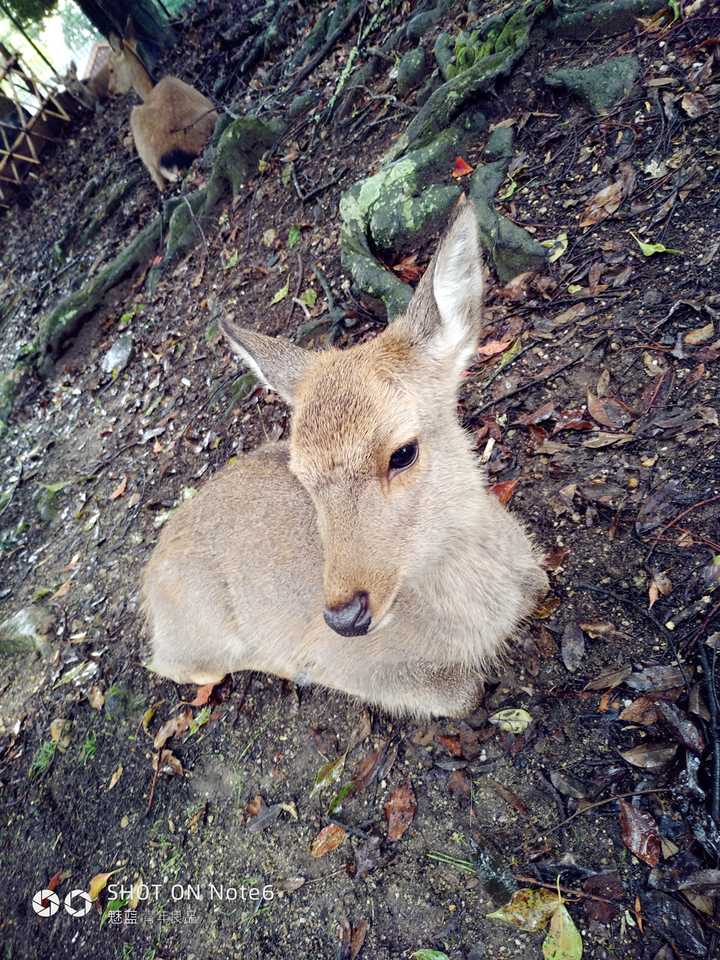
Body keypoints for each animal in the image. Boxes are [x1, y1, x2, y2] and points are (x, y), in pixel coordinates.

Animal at [141, 201, 548, 712]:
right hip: (197, 638)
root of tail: (148, 584)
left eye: (403, 452)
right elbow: (463, 692)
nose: (344, 616)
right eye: (301, 475)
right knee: (167, 663)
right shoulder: (350, 665)